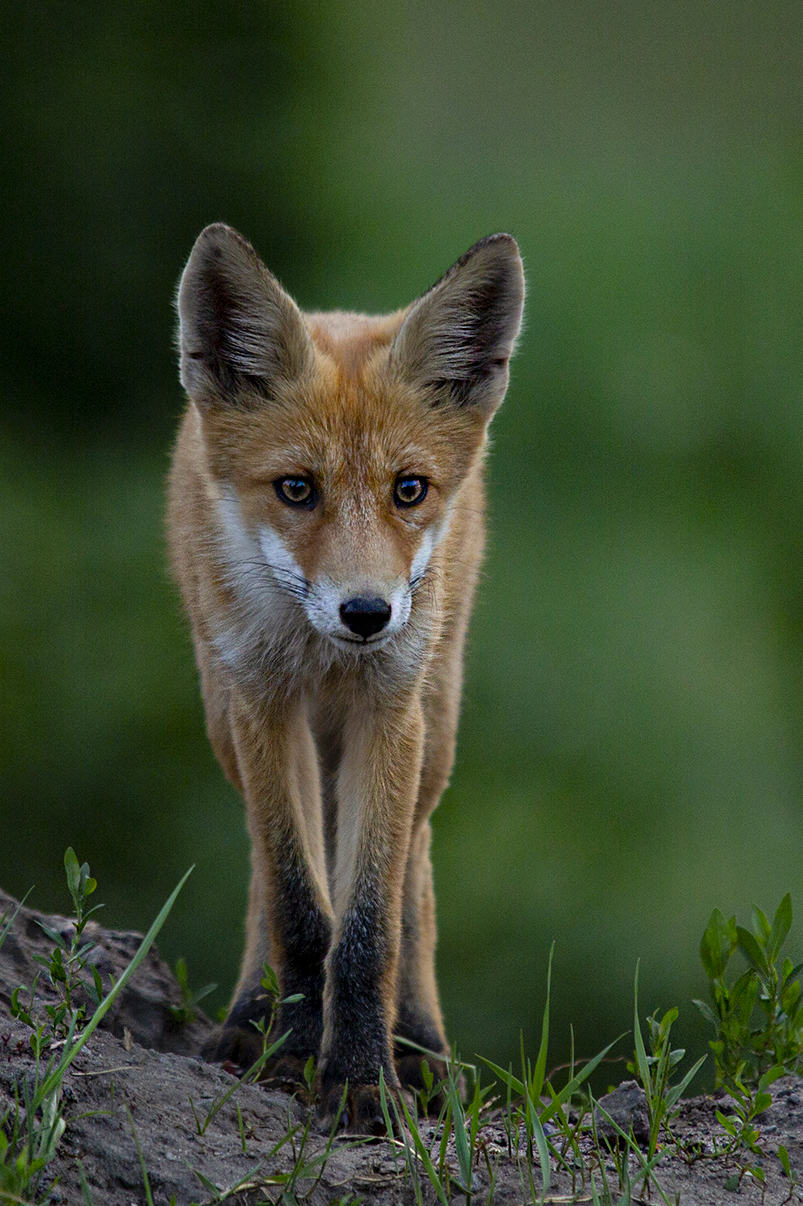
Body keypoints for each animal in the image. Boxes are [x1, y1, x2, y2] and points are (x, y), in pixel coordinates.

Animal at [165, 224, 523, 1128]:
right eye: (296, 488)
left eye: (409, 490)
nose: (367, 613)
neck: (323, 658)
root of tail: (340, 310)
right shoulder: (261, 703)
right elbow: (297, 903)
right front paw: (294, 1050)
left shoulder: (388, 712)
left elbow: (368, 925)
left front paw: (364, 1076)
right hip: (224, 719)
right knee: (264, 870)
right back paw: (253, 1015)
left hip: (435, 726)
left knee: (414, 874)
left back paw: (419, 1043)